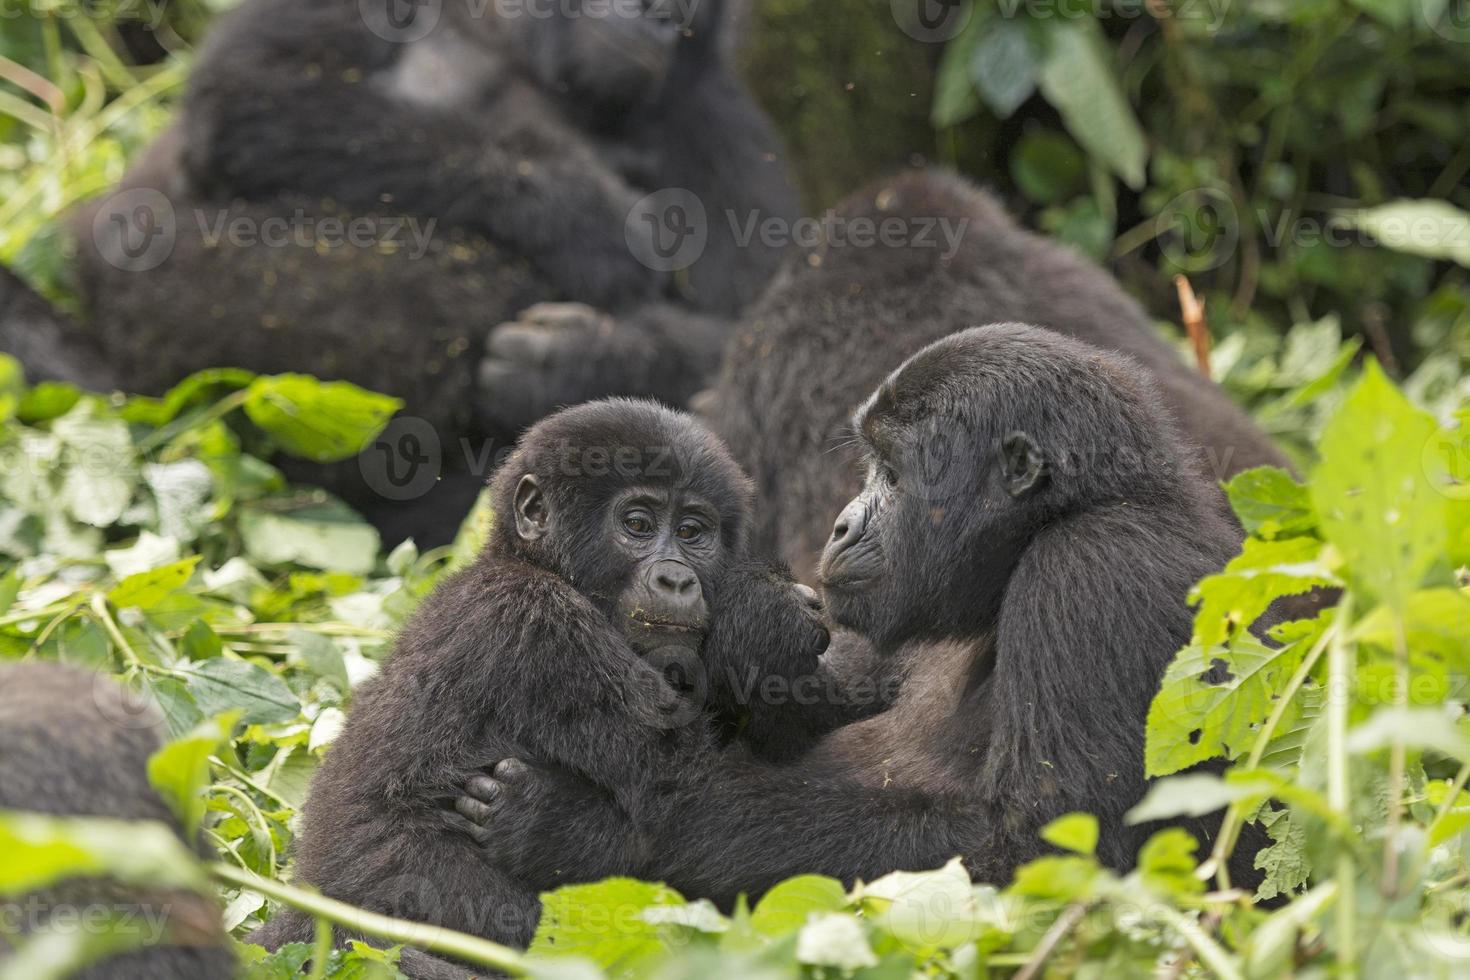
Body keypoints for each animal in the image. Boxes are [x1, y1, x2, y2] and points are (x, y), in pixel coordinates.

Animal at [51, 0, 799, 543]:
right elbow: (255, 88)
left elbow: (747, 330)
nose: (657, 10)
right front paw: (580, 216)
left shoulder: (713, 112)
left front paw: (574, 360)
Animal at [246, 399, 858, 963]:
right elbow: (685, 792)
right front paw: (765, 620)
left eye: (692, 532)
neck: (535, 563)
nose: (677, 579)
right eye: (637, 525)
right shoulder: (537, 622)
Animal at [461, 326, 1275, 910]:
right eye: (870, 466)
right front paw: (757, 628)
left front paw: (589, 830)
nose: (843, 524)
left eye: (893, 472)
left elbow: (1039, 857)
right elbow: (806, 714)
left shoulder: (1095, 569)